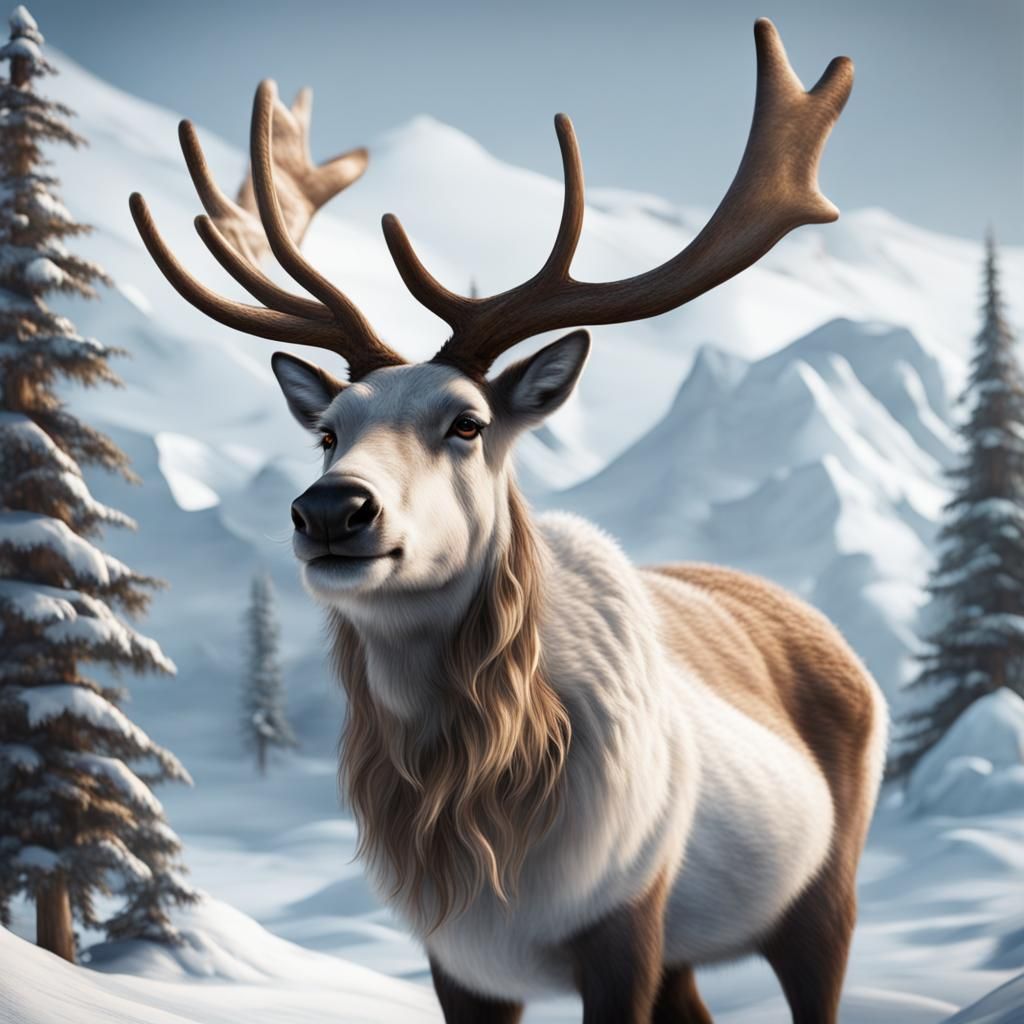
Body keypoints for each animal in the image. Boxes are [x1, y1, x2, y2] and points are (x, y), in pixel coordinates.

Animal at [129, 19, 887, 1024]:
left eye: (468, 422)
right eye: (329, 432)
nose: (333, 507)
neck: (481, 828)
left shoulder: (627, 922)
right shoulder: (458, 958)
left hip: (822, 892)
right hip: (695, 948)